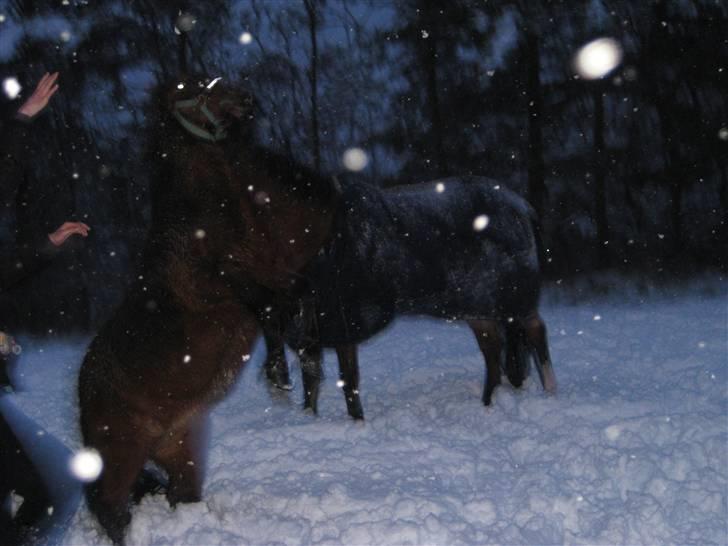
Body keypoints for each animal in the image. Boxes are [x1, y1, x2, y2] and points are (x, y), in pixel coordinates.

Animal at [75, 77, 336, 544]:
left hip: (180, 450)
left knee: (180, 494)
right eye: (193, 88)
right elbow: (271, 309)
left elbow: (296, 300)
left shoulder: (271, 273)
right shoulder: (224, 283)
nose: (248, 99)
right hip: (118, 456)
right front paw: (279, 376)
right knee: (109, 506)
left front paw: (300, 373)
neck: (197, 223)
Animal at [262, 174, 556, 416]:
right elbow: (311, 387)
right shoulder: (311, 335)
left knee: (535, 332)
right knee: (493, 352)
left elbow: (349, 383)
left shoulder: (344, 325)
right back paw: (488, 405)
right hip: (477, 308)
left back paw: (550, 392)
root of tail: (523, 207)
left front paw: (357, 423)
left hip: (515, 302)